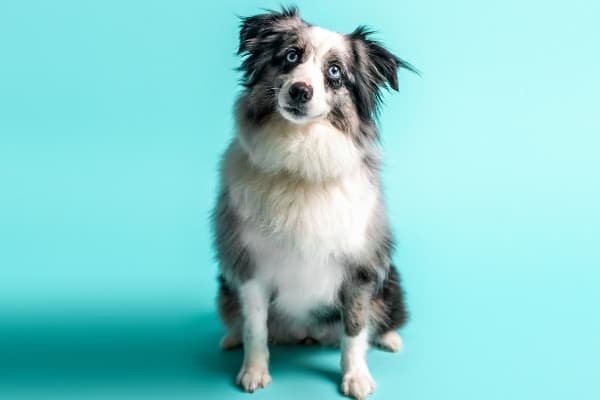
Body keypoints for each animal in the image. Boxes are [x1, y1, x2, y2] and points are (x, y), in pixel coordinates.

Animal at [210, 7, 412, 400]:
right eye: (291, 56)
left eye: (335, 72)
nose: (300, 90)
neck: (300, 155)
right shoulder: (250, 266)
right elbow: (255, 328)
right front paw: (253, 371)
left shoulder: (359, 268)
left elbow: (355, 328)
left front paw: (356, 377)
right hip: (225, 285)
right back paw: (230, 337)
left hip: (390, 279)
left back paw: (391, 338)